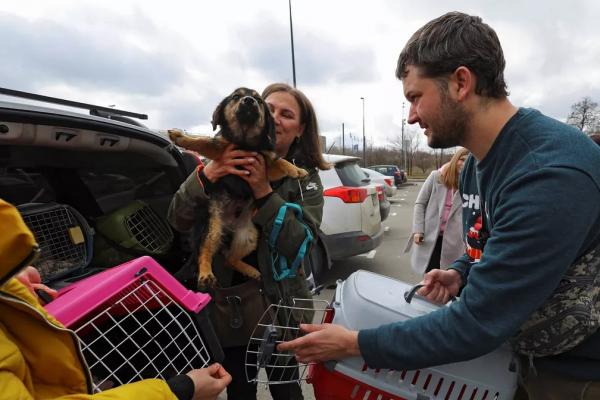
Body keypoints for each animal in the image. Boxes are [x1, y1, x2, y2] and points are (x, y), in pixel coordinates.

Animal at [170, 86, 308, 288]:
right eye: (236, 97)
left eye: (259, 101)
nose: (249, 101)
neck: (245, 142)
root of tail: (229, 227)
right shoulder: (221, 148)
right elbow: (203, 141)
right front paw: (181, 137)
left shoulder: (266, 162)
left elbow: (279, 160)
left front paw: (297, 170)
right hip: (212, 228)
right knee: (204, 252)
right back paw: (206, 274)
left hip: (248, 235)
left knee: (230, 259)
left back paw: (251, 271)